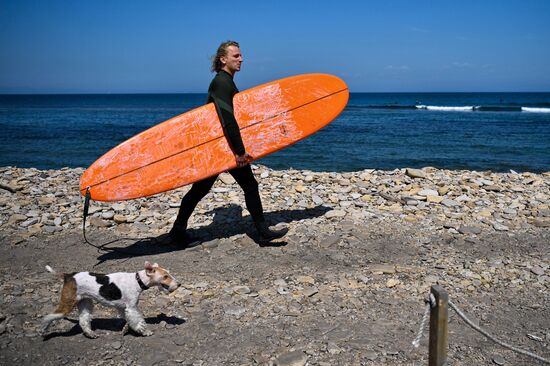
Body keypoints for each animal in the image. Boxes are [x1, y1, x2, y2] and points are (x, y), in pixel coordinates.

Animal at [41, 262, 179, 338]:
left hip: (85, 303)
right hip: (68, 303)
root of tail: (68, 275)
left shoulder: (123, 308)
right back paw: (44, 330)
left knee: (84, 321)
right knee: (50, 316)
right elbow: (139, 321)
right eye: (165, 276)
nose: (179, 284)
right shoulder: (132, 308)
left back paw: (91, 334)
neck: (137, 280)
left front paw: (126, 329)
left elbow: (128, 320)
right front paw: (145, 332)